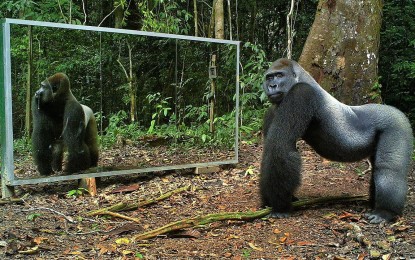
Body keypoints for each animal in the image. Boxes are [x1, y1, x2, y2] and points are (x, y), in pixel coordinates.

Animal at [262, 58, 414, 223]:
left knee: (389, 169)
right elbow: (269, 152)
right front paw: (268, 202)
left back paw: (385, 211)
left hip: (397, 124)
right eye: (269, 78)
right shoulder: (274, 109)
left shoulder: (301, 93)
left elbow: (281, 147)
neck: (302, 79)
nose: (272, 86)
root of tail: (396, 111)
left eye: (279, 75)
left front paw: (280, 206)